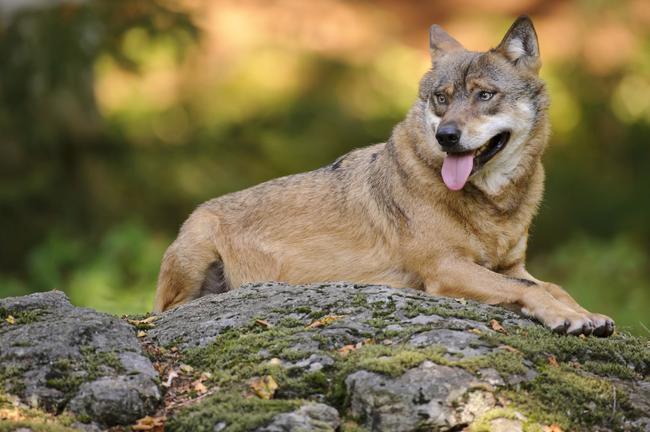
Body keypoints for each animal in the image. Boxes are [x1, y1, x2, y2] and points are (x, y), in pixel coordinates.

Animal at [153, 16, 612, 336]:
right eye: (441, 99)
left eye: (485, 95)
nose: (446, 136)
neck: (493, 206)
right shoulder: (446, 268)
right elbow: (534, 290)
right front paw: (569, 319)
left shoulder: (512, 266)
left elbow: (554, 287)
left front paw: (587, 314)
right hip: (195, 247)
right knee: (166, 311)